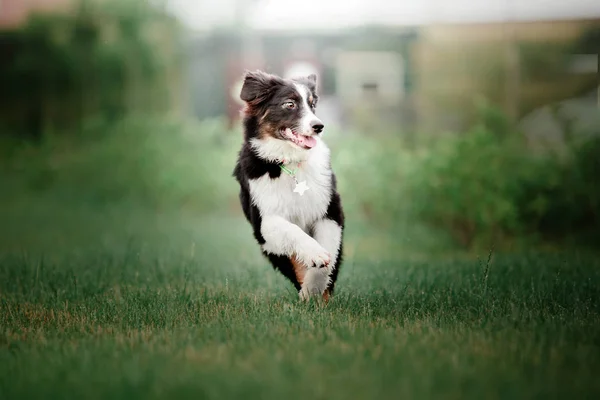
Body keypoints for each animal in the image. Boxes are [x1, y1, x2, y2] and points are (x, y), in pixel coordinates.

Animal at [234, 70, 346, 300]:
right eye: (290, 104)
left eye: (312, 105)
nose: (319, 126)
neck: (290, 162)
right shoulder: (265, 222)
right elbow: (292, 231)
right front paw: (314, 254)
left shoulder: (330, 211)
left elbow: (329, 255)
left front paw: (314, 288)